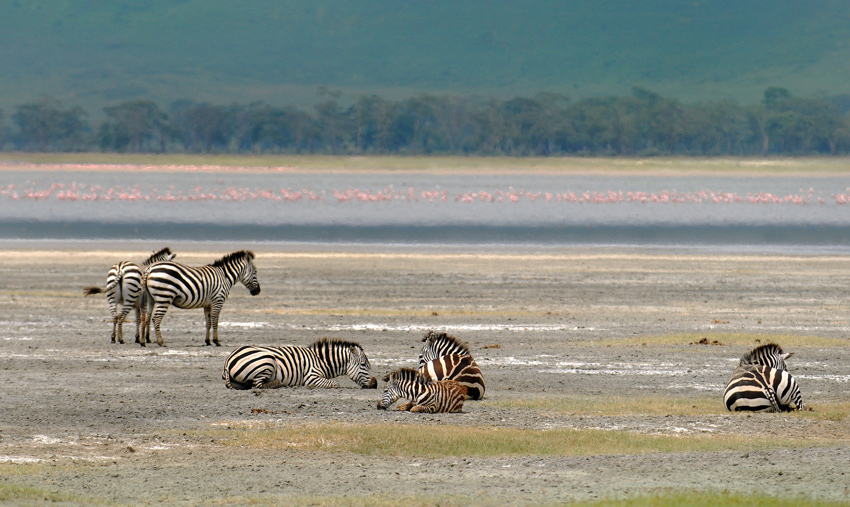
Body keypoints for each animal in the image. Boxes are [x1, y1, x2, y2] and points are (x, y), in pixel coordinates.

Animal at [220, 340, 376, 390]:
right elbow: (335, 384)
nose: (375, 384)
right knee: (257, 385)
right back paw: (280, 383)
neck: (321, 361)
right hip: (268, 360)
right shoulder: (311, 377)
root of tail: (228, 360)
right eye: (363, 365)